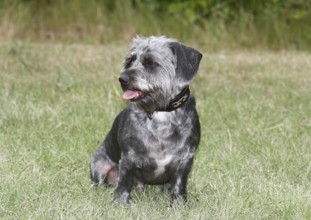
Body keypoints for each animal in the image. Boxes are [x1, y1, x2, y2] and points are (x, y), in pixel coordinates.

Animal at [89, 36, 204, 205]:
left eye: (150, 63)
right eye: (130, 61)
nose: (122, 79)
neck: (160, 112)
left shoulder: (185, 159)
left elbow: (179, 184)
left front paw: (179, 204)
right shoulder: (129, 157)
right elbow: (124, 181)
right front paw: (120, 203)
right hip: (98, 165)